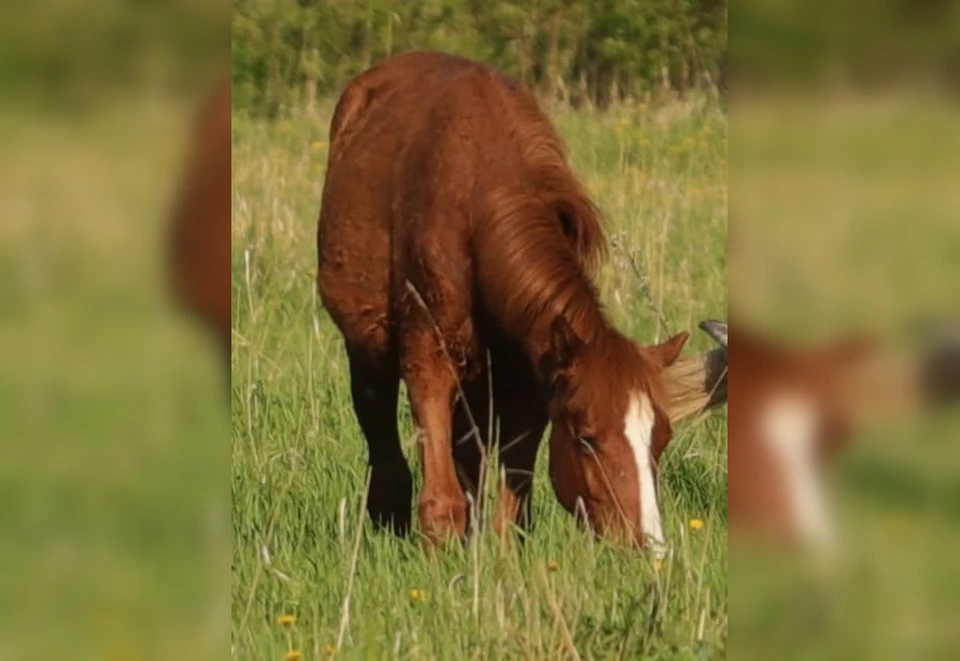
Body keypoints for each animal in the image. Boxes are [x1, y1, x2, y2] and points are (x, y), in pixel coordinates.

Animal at [318, 52, 724, 552]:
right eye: (586, 439)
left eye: (661, 437)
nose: (648, 546)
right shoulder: (428, 356)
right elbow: (441, 500)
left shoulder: (534, 375)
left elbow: (512, 506)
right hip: (368, 348)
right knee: (380, 429)